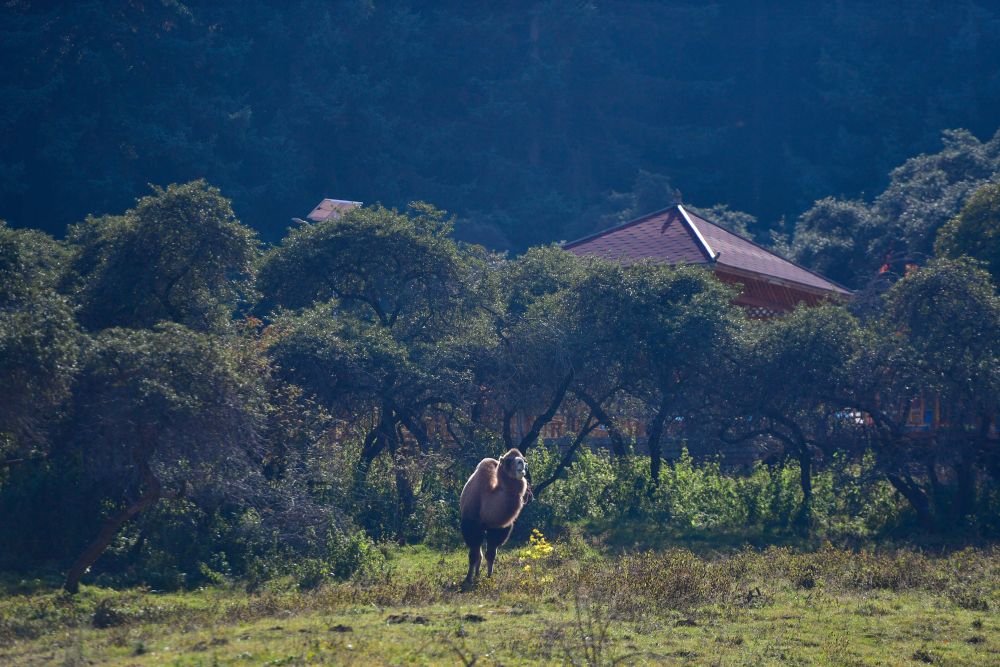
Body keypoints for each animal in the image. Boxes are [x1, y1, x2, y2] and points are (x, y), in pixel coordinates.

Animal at [460, 448, 532, 588]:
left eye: (523, 458)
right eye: (509, 460)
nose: (521, 464)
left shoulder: (498, 529)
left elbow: (491, 554)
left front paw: (489, 577)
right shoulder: (471, 525)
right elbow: (473, 555)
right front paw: (467, 579)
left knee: (482, 553)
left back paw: (478, 575)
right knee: (477, 553)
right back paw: (475, 575)